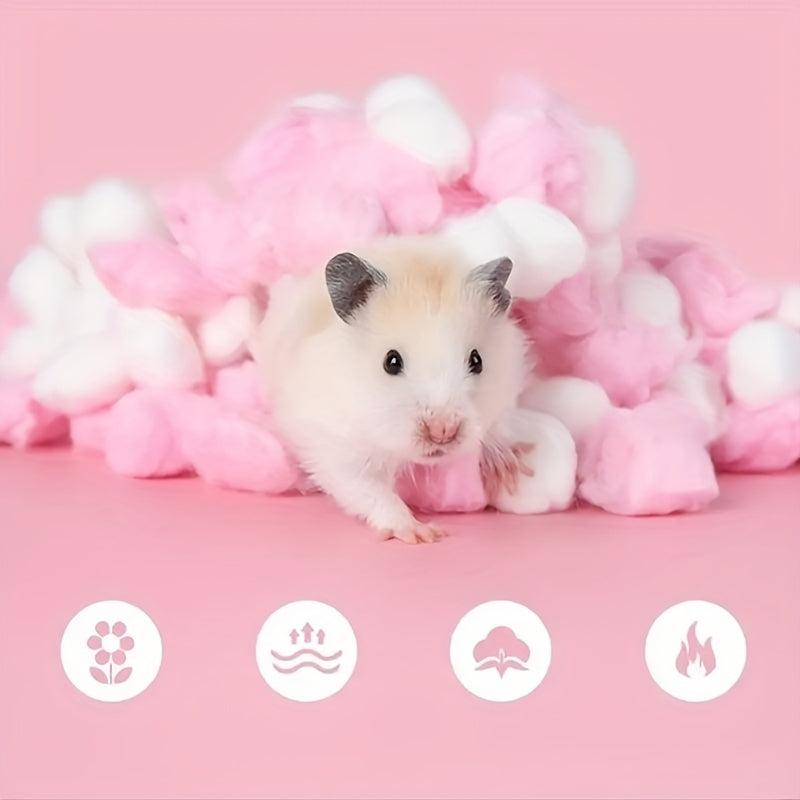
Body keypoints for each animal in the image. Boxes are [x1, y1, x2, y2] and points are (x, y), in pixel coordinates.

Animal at [253, 235, 531, 543]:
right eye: (391, 361)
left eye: (477, 360)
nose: (442, 432)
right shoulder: (334, 444)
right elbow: (371, 491)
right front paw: (422, 533)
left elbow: (499, 423)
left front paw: (512, 470)